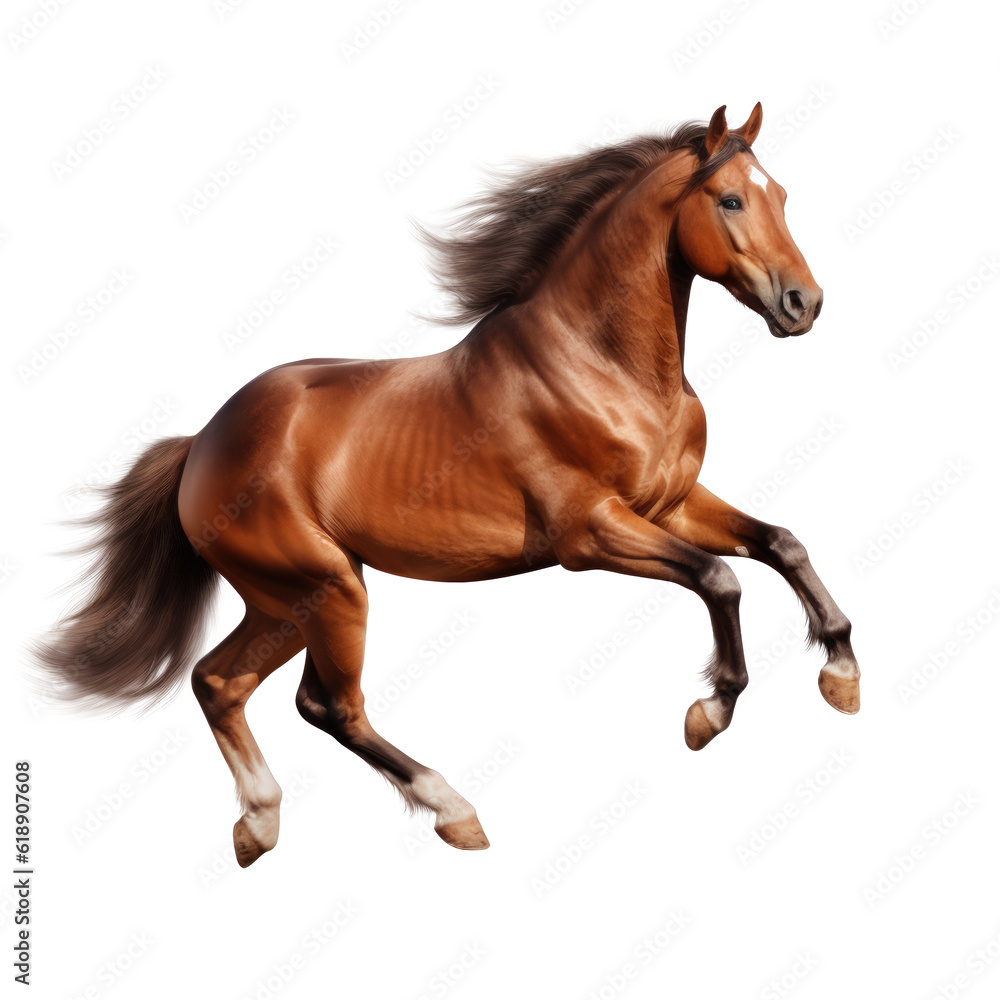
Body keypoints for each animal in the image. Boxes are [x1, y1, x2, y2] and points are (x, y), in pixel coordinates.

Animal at [37, 103, 860, 868]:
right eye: (730, 198)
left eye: (782, 194)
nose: (805, 304)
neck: (602, 365)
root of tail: (201, 445)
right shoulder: (590, 532)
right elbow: (721, 578)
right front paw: (708, 712)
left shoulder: (675, 504)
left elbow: (782, 544)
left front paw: (842, 675)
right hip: (329, 589)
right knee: (327, 705)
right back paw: (455, 812)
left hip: (285, 601)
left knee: (219, 682)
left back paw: (259, 825)